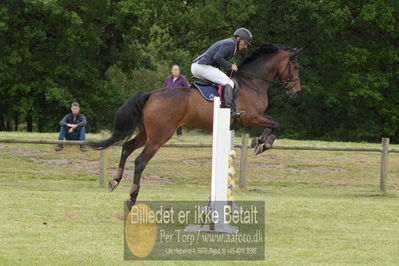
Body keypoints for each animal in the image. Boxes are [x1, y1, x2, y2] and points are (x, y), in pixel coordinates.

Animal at [90, 43, 304, 207]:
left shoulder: (251, 119)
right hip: (160, 136)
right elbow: (275, 124)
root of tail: (151, 94)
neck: (252, 82)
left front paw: (260, 143)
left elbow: (273, 123)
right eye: (295, 67)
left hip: (146, 133)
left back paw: (115, 180)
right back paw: (132, 197)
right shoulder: (251, 118)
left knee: (127, 147)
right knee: (140, 161)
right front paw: (263, 144)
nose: (296, 91)